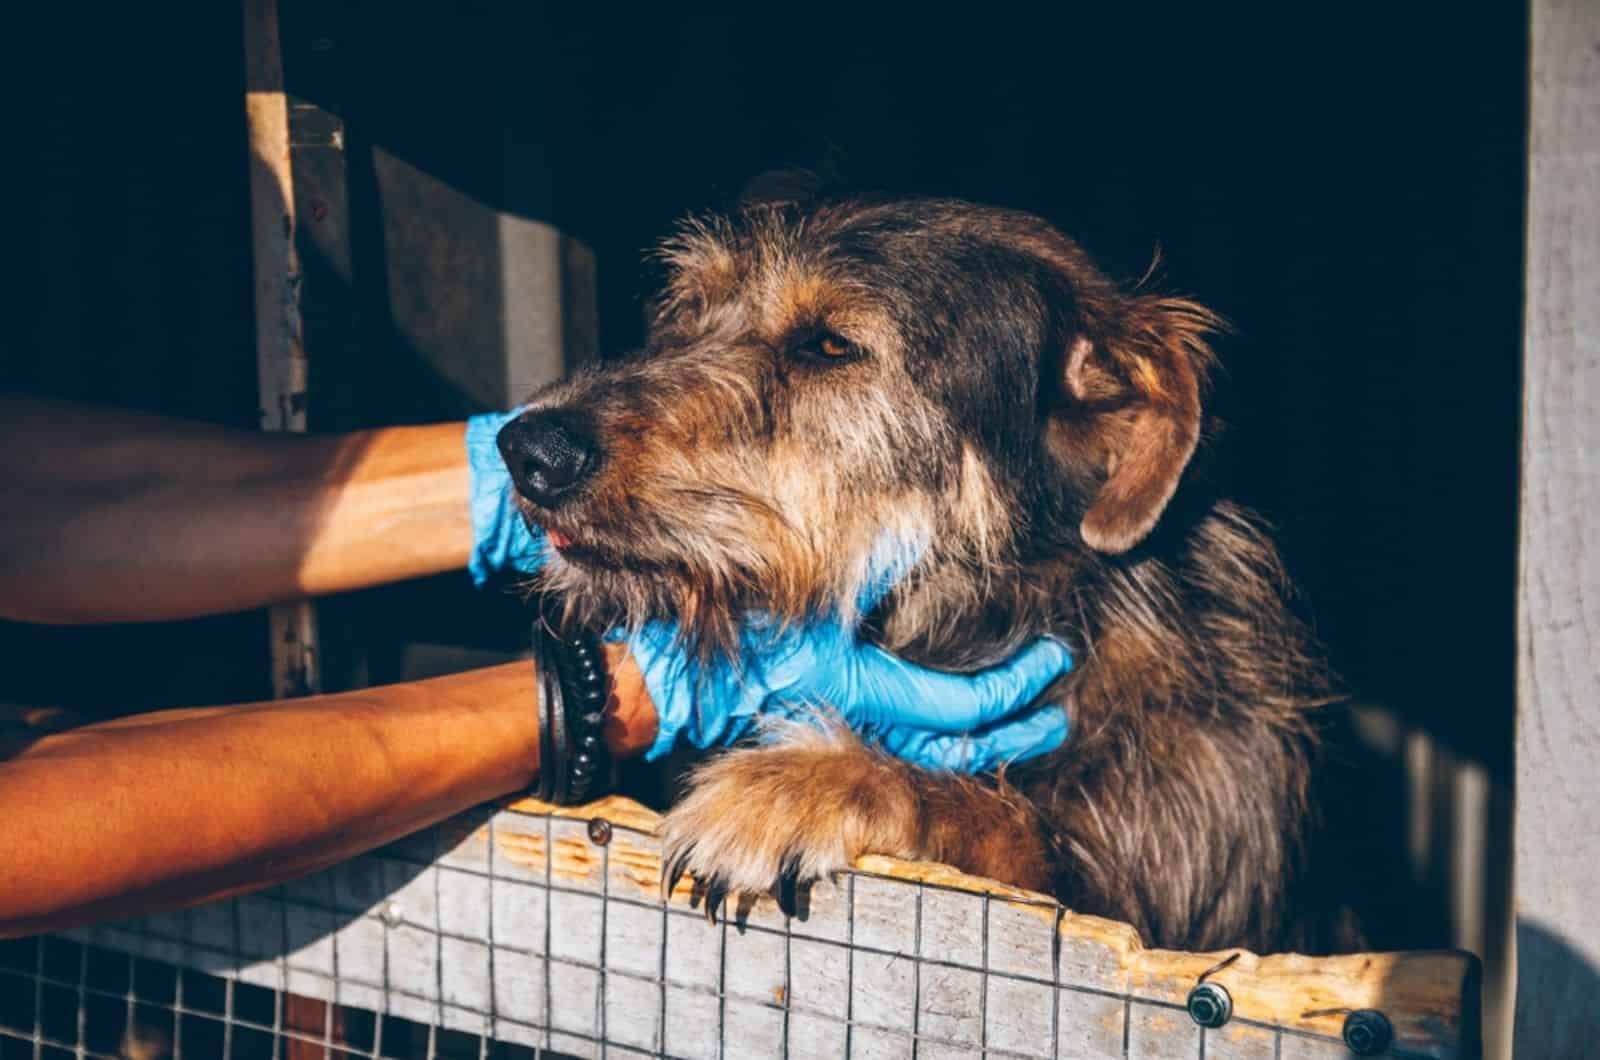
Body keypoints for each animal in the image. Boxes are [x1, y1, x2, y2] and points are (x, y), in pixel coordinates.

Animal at [496, 191, 1337, 954]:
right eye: (689, 314)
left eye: (830, 346)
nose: (526, 450)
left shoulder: (1163, 909)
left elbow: (1008, 828)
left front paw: (801, 785)